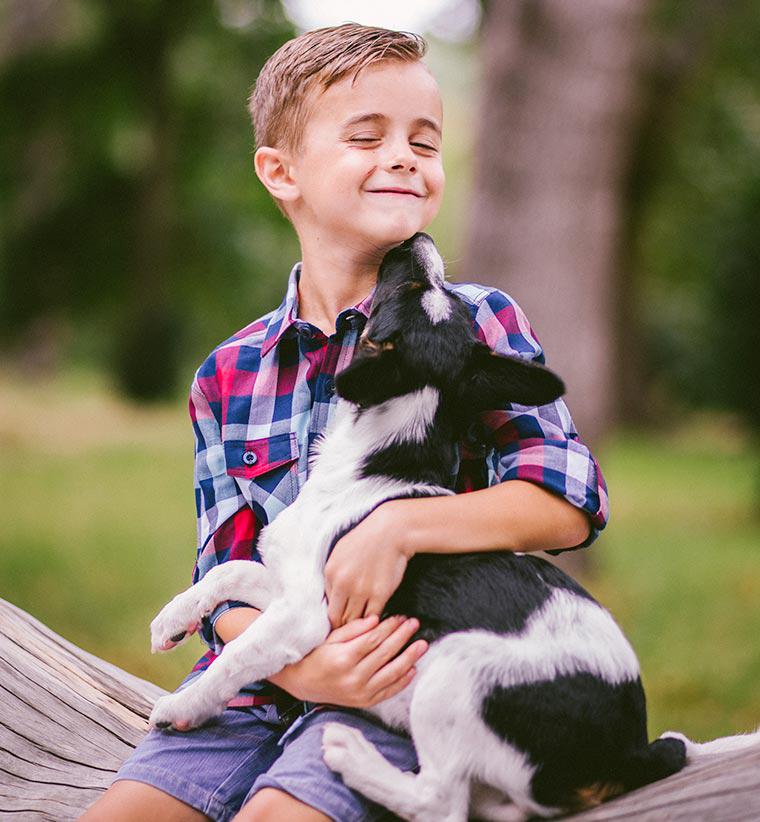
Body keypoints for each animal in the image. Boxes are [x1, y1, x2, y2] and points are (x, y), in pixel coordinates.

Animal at [150, 233, 760, 822]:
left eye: (409, 288)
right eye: (442, 296)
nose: (414, 238)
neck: (375, 456)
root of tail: (629, 752)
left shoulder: (304, 617)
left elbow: (238, 655)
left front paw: (181, 707)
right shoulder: (288, 583)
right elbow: (226, 571)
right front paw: (171, 621)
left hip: (454, 669)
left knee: (442, 801)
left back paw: (353, 755)